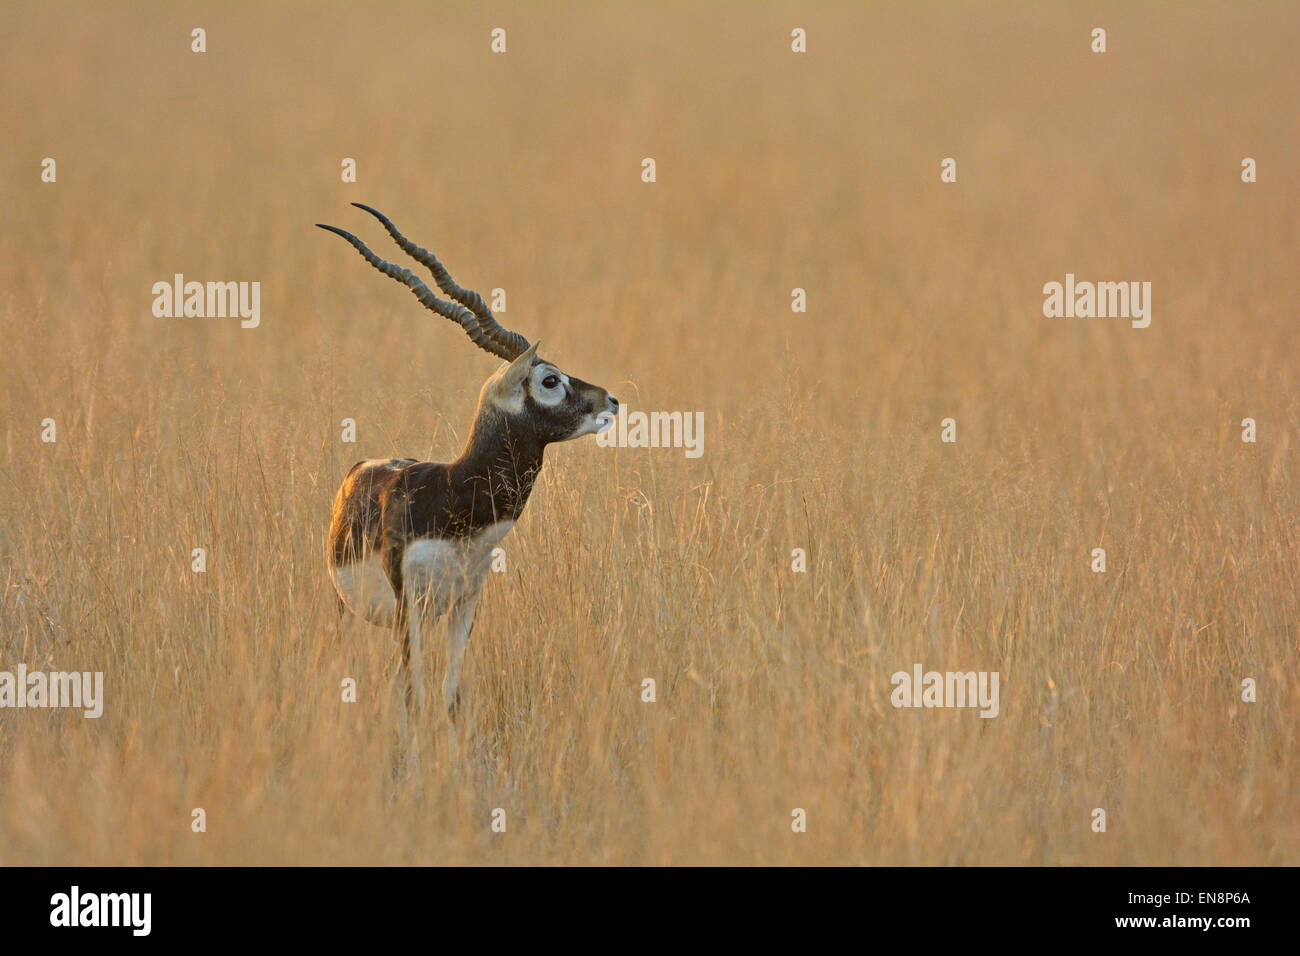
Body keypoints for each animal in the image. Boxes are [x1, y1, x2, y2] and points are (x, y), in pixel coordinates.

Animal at [317, 205, 616, 723]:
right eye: (550, 379)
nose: (611, 401)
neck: (453, 494)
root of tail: (359, 469)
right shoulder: (410, 607)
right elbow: (413, 695)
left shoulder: (465, 604)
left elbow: (450, 696)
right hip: (348, 608)